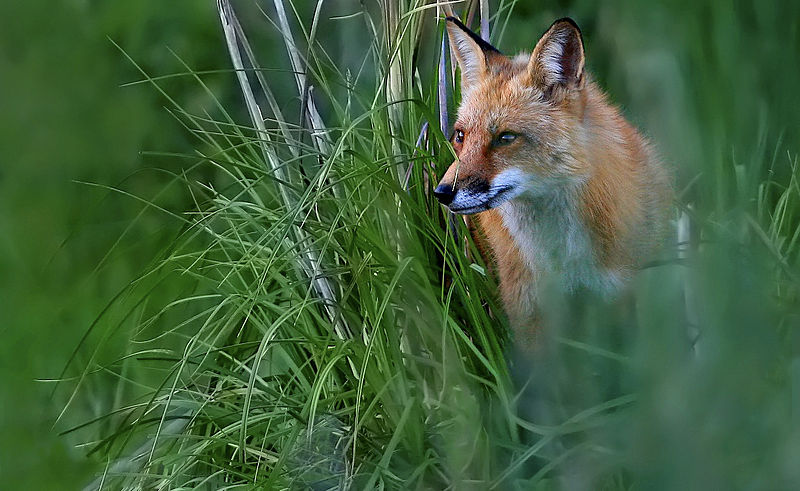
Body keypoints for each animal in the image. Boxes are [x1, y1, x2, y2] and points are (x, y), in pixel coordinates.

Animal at [435, 17, 672, 345]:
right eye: (460, 136)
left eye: (505, 138)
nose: (441, 193)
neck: (561, 255)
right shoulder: (529, 310)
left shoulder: (621, 293)